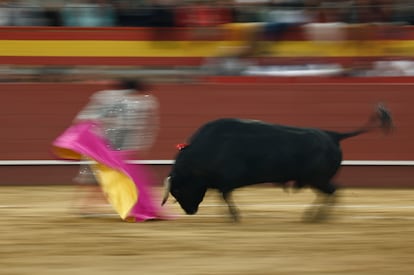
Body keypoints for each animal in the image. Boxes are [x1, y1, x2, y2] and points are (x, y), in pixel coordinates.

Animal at [162, 103, 394, 222]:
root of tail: (333, 135)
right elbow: (222, 197)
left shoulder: (226, 182)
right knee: (331, 192)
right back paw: (314, 216)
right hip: (315, 179)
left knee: (333, 191)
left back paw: (314, 217)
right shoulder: (222, 183)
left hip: (317, 178)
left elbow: (225, 197)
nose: (189, 211)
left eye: (178, 189)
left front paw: (235, 216)